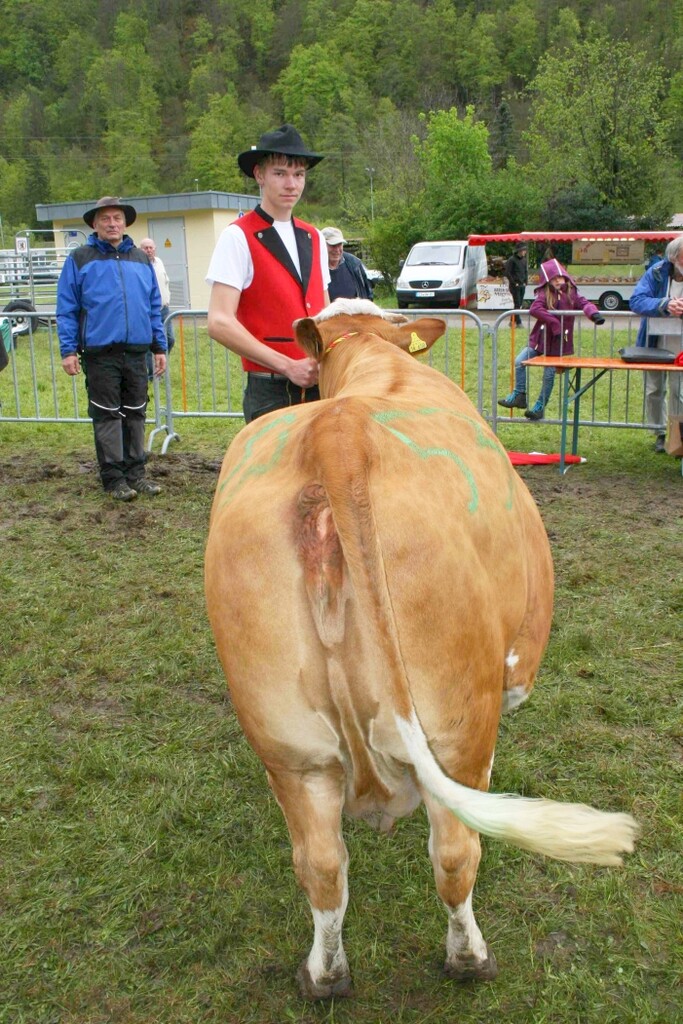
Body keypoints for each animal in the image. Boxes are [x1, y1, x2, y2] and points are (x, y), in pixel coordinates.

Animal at [205, 298, 637, 1000]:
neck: (374, 360)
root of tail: (339, 433)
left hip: (290, 745)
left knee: (321, 865)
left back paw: (325, 976)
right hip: (455, 728)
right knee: (456, 854)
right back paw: (470, 957)